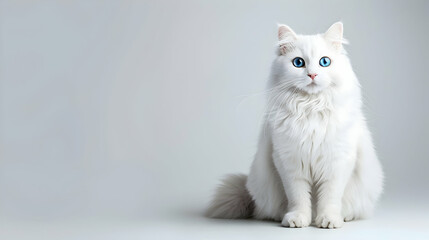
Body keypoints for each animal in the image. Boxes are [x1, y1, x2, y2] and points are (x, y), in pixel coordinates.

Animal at [206, 22, 382, 229]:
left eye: (324, 62)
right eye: (298, 63)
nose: (312, 74)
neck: (311, 108)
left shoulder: (336, 163)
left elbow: (329, 198)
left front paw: (328, 220)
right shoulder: (290, 164)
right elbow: (298, 197)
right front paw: (298, 219)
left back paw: (344, 217)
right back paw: (280, 216)